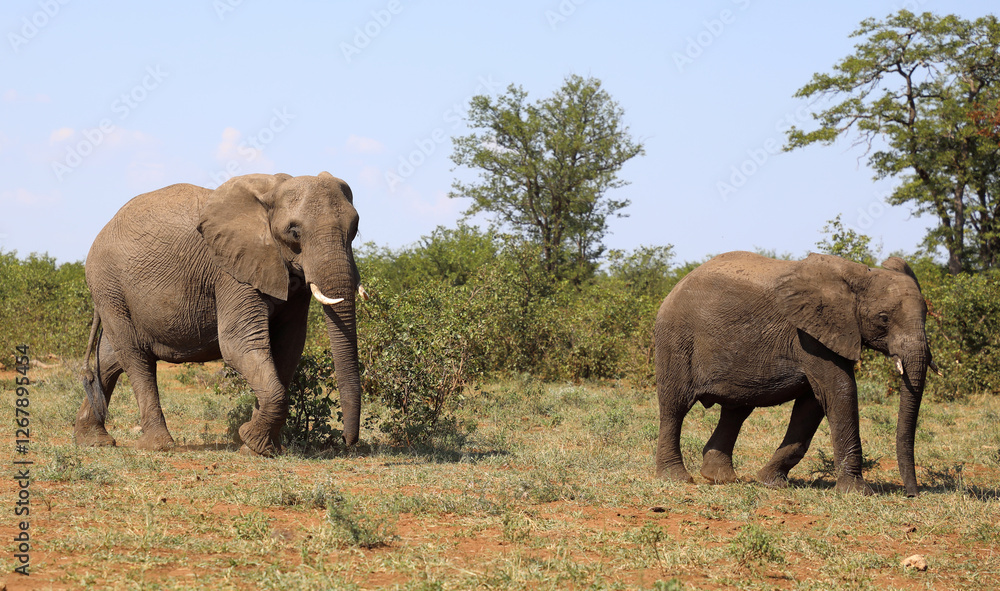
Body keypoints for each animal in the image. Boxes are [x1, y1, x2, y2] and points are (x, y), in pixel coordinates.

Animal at [75, 172, 362, 456]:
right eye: (294, 232)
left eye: (355, 229)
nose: (347, 441)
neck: (272, 189)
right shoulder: (230, 272)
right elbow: (238, 344)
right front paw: (252, 441)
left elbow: (288, 346)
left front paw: (257, 447)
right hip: (109, 286)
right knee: (135, 357)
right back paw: (157, 445)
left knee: (110, 358)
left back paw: (94, 440)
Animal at [654, 251, 936, 496]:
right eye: (883, 318)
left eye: (926, 314)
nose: (912, 495)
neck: (858, 275)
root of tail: (677, 284)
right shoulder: (810, 335)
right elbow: (840, 392)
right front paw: (858, 493)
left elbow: (812, 405)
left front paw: (770, 482)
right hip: (676, 339)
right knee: (675, 406)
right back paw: (677, 478)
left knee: (736, 410)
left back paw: (720, 478)